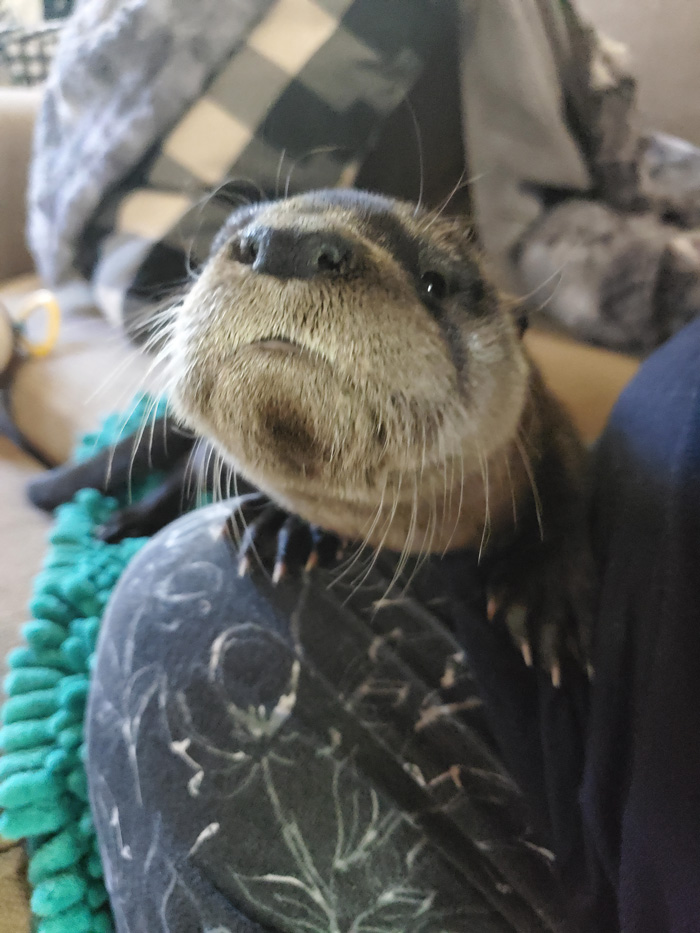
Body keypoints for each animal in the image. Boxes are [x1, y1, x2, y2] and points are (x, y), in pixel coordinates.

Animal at [28, 189, 593, 680]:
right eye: (229, 234)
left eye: (435, 280)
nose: (286, 243)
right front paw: (286, 526)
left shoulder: (547, 423)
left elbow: (572, 487)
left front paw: (542, 593)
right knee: (180, 480)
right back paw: (124, 524)